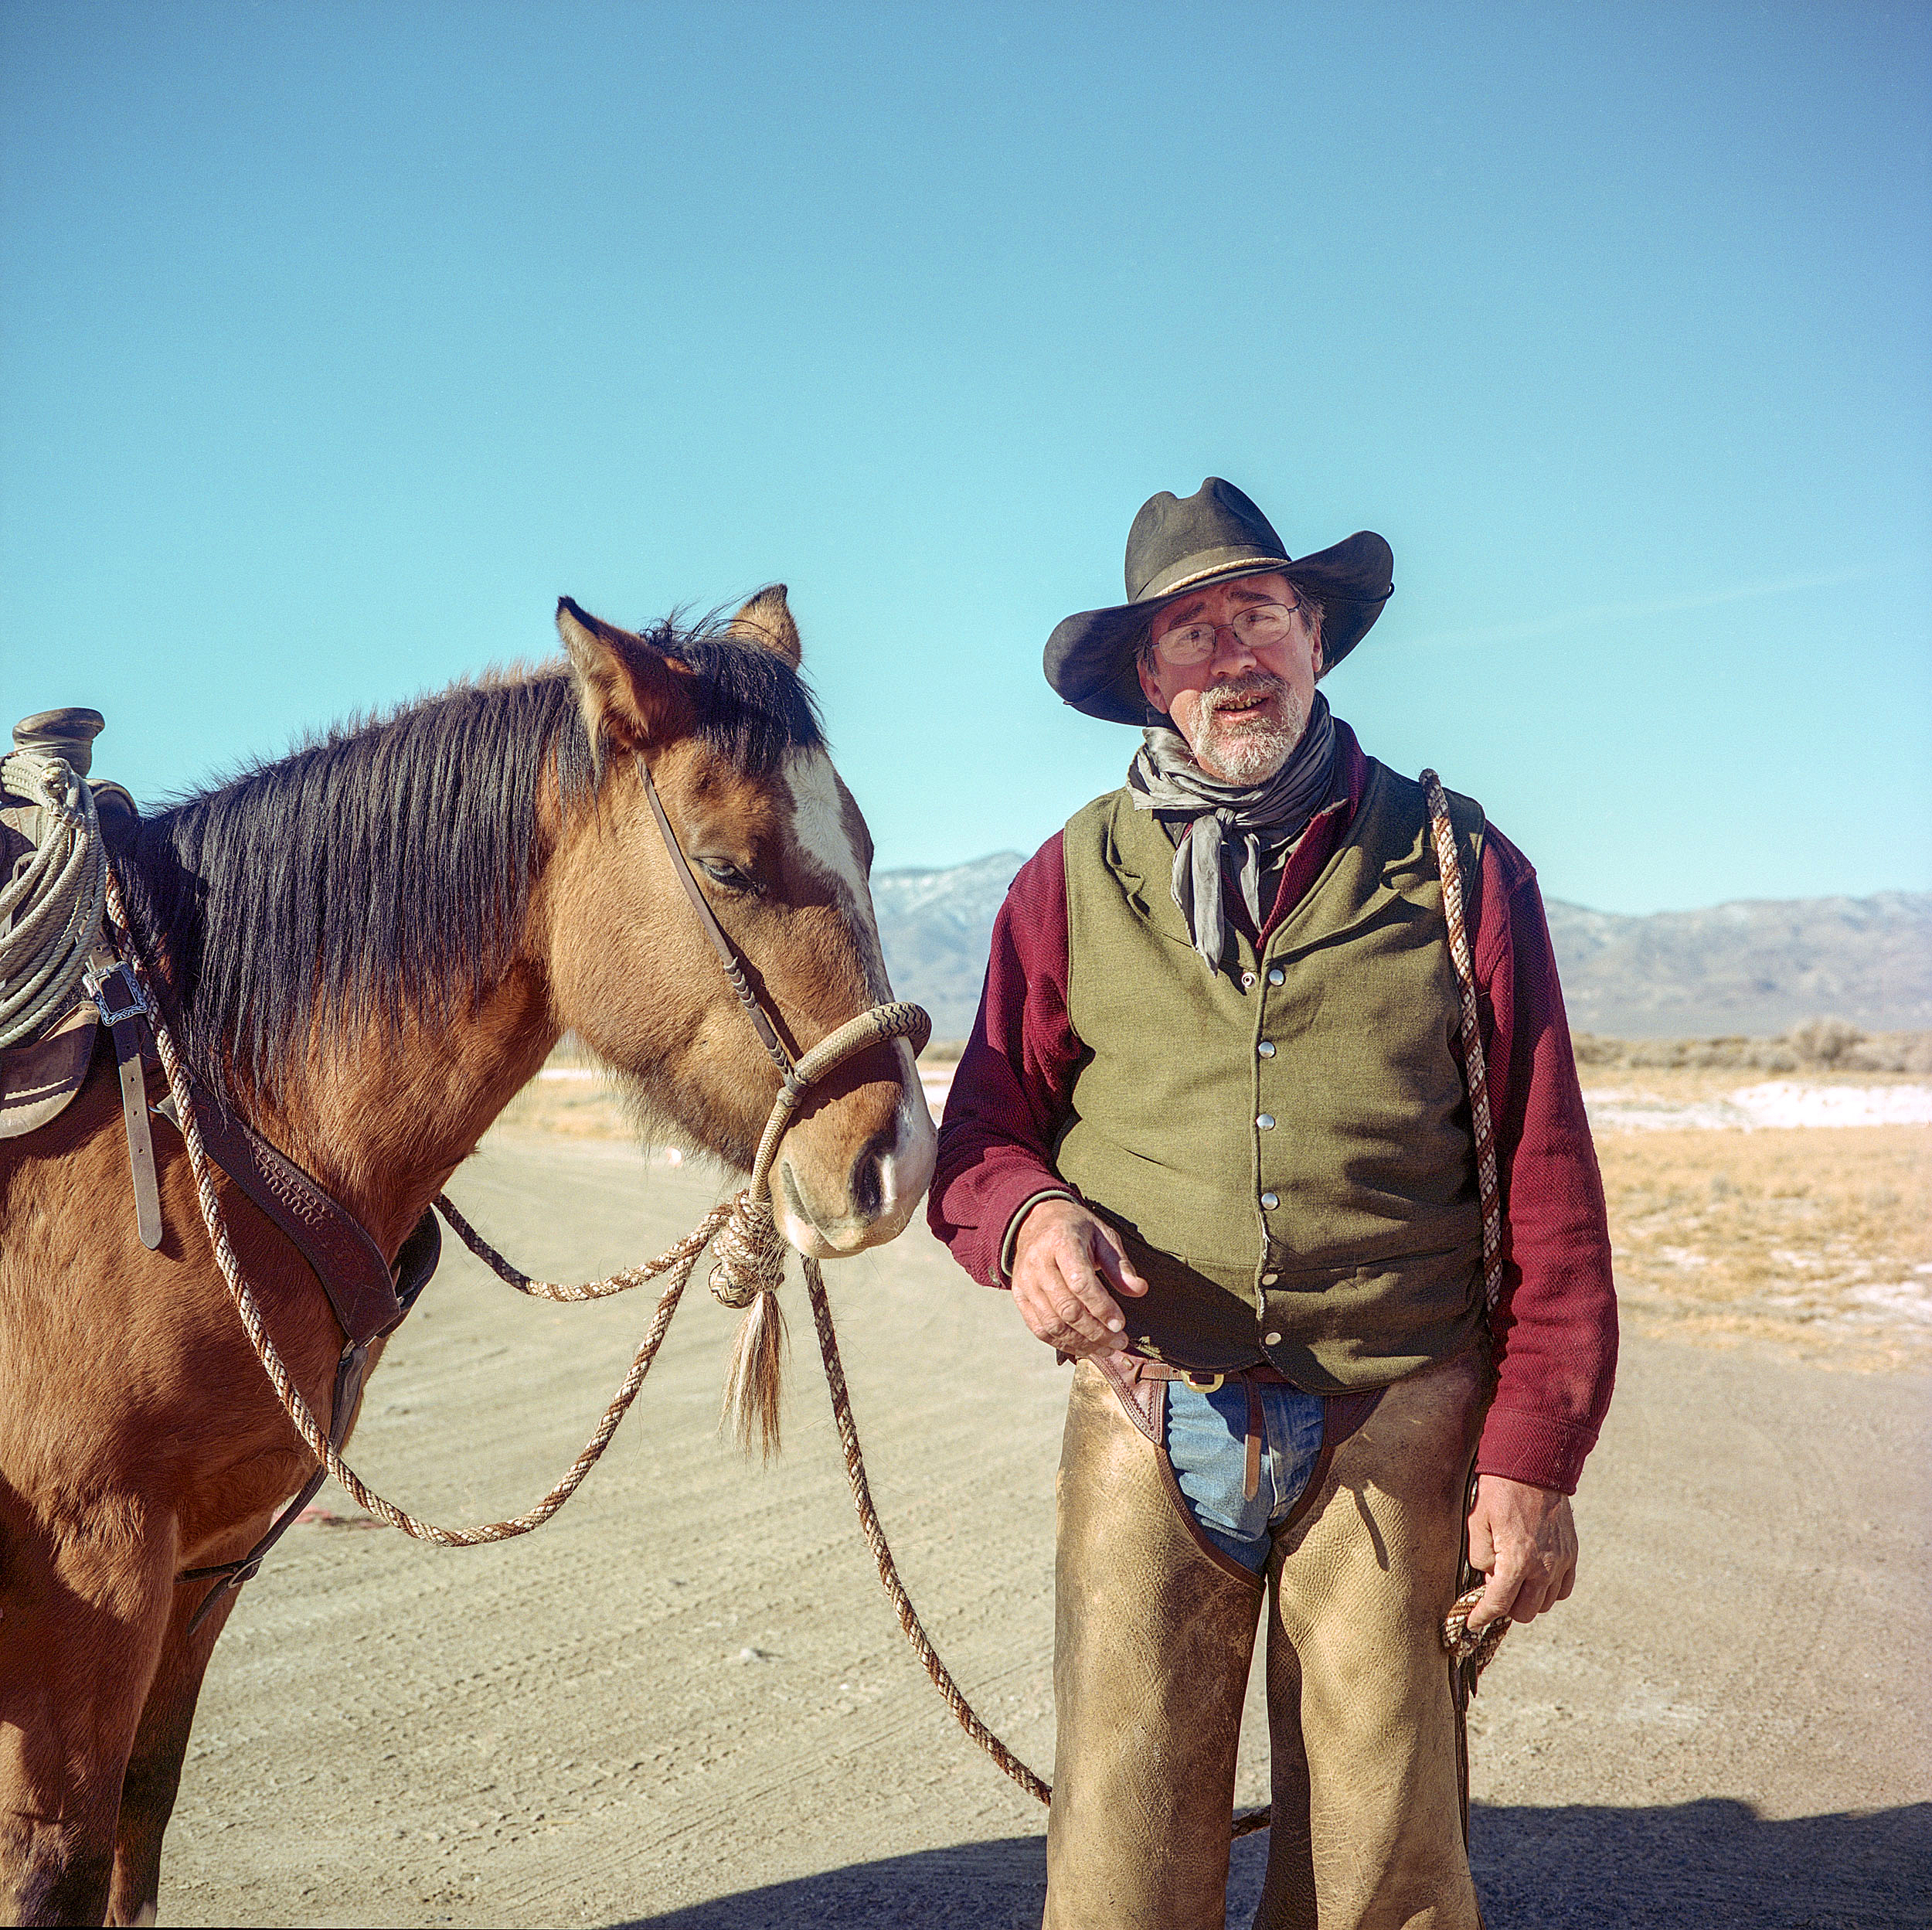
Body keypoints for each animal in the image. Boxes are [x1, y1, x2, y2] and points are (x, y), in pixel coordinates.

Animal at [0, 594, 935, 1924]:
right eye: (726, 866)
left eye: (862, 844)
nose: (897, 1163)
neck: (199, 1109)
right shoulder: (91, 1571)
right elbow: (56, 1865)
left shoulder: (198, 1567)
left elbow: (137, 1830)